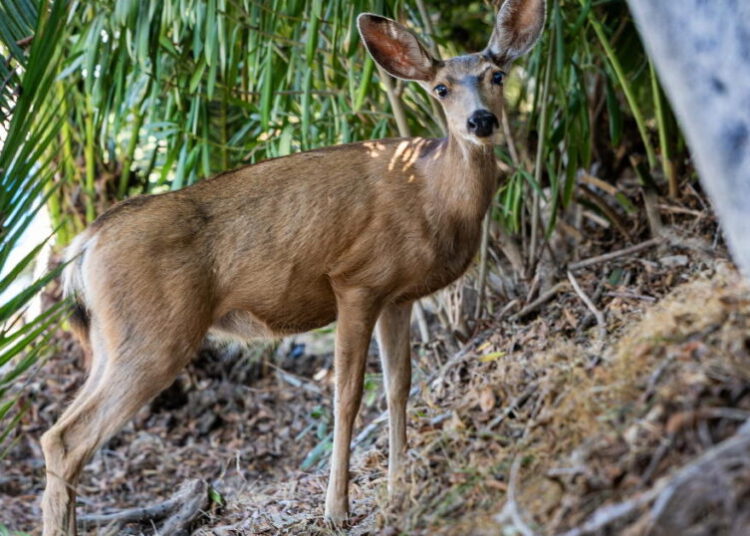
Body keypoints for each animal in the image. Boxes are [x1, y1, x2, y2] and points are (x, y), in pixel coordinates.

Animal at [40, 1, 545, 533]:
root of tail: (85, 244)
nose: (481, 121)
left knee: (58, 433)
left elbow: (399, 387)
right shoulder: (356, 281)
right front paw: (337, 510)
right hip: (157, 332)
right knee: (68, 438)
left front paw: (397, 491)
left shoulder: (398, 297)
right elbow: (347, 396)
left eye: (497, 75)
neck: (433, 193)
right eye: (441, 88)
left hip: (112, 337)